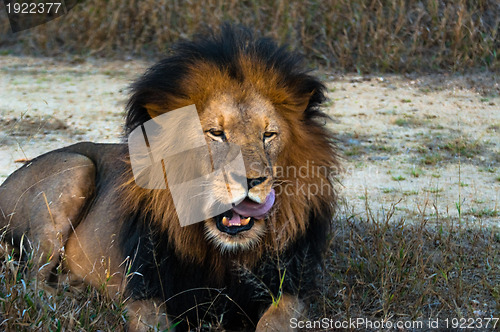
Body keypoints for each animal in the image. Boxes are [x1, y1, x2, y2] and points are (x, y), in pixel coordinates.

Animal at [0, 25, 340, 330]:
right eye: (216, 133)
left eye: (268, 135)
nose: (252, 181)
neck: (223, 254)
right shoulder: (145, 290)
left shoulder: (290, 287)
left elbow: (276, 320)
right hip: (76, 168)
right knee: (30, 280)